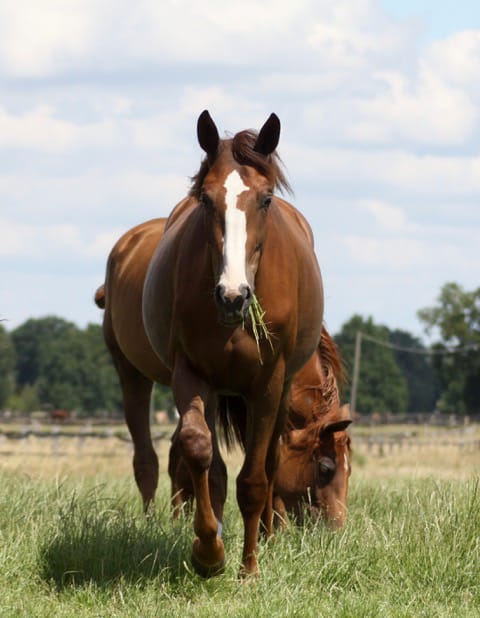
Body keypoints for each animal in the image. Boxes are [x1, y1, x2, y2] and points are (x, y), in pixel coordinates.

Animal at [96, 109, 322, 572]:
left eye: (265, 199)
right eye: (205, 199)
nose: (233, 296)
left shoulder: (268, 384)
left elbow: (254, 478)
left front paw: (249, 569)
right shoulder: (193, 373)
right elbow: (199, 452)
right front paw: (208, 550)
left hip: (280, 388)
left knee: (270, 462)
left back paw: (268, 535)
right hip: (133, 373)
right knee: (153, 458)